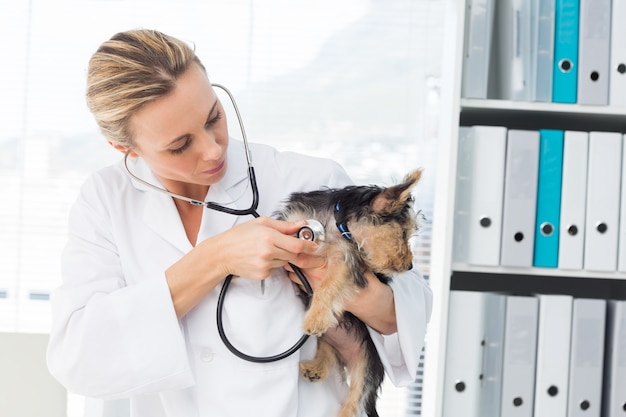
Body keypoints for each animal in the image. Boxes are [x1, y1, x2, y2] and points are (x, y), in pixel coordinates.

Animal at [272, 168, 420, 416]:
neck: (337, 225)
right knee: (329, 351)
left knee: (355, 400)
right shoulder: (291, 224)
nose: (409, 265)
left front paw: (315, 317)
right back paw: (316, 367)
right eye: (403, 233)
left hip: (367, 362)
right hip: (332, 341)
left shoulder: (345, 260)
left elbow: (328, 285)